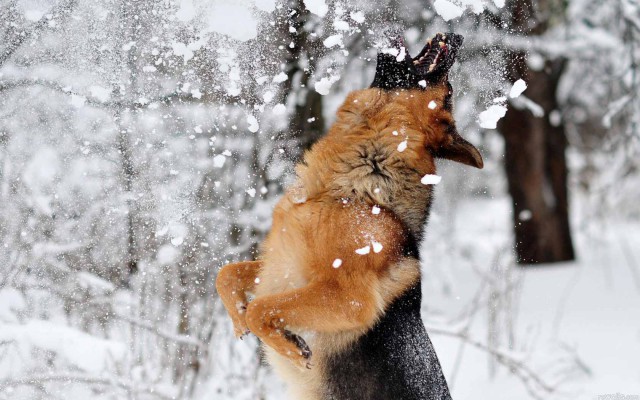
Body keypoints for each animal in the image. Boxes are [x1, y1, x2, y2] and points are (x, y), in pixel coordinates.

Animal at [215, 32, 480, 398]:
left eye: (449, 91)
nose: (457, 36)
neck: (356, 190)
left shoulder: (349, 299)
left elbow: (261, 308)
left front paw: (288, 347)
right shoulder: (281, 265)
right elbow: (227, 275)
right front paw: (239, 318)